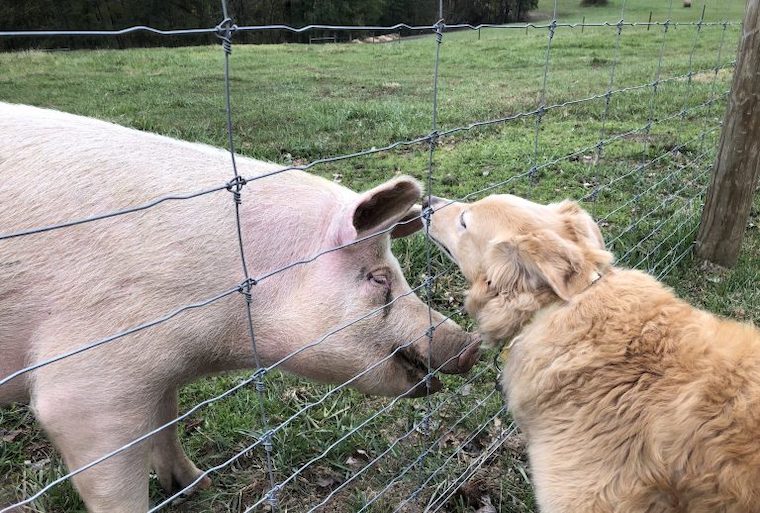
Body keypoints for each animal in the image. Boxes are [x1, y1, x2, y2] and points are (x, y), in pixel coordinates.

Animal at [0, 102, 480, 513]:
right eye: (378, 278)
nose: (469, 344)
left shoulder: (157, 373)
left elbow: (166, 420)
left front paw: (198, 484)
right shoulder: (90, 384)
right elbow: (116, 484)